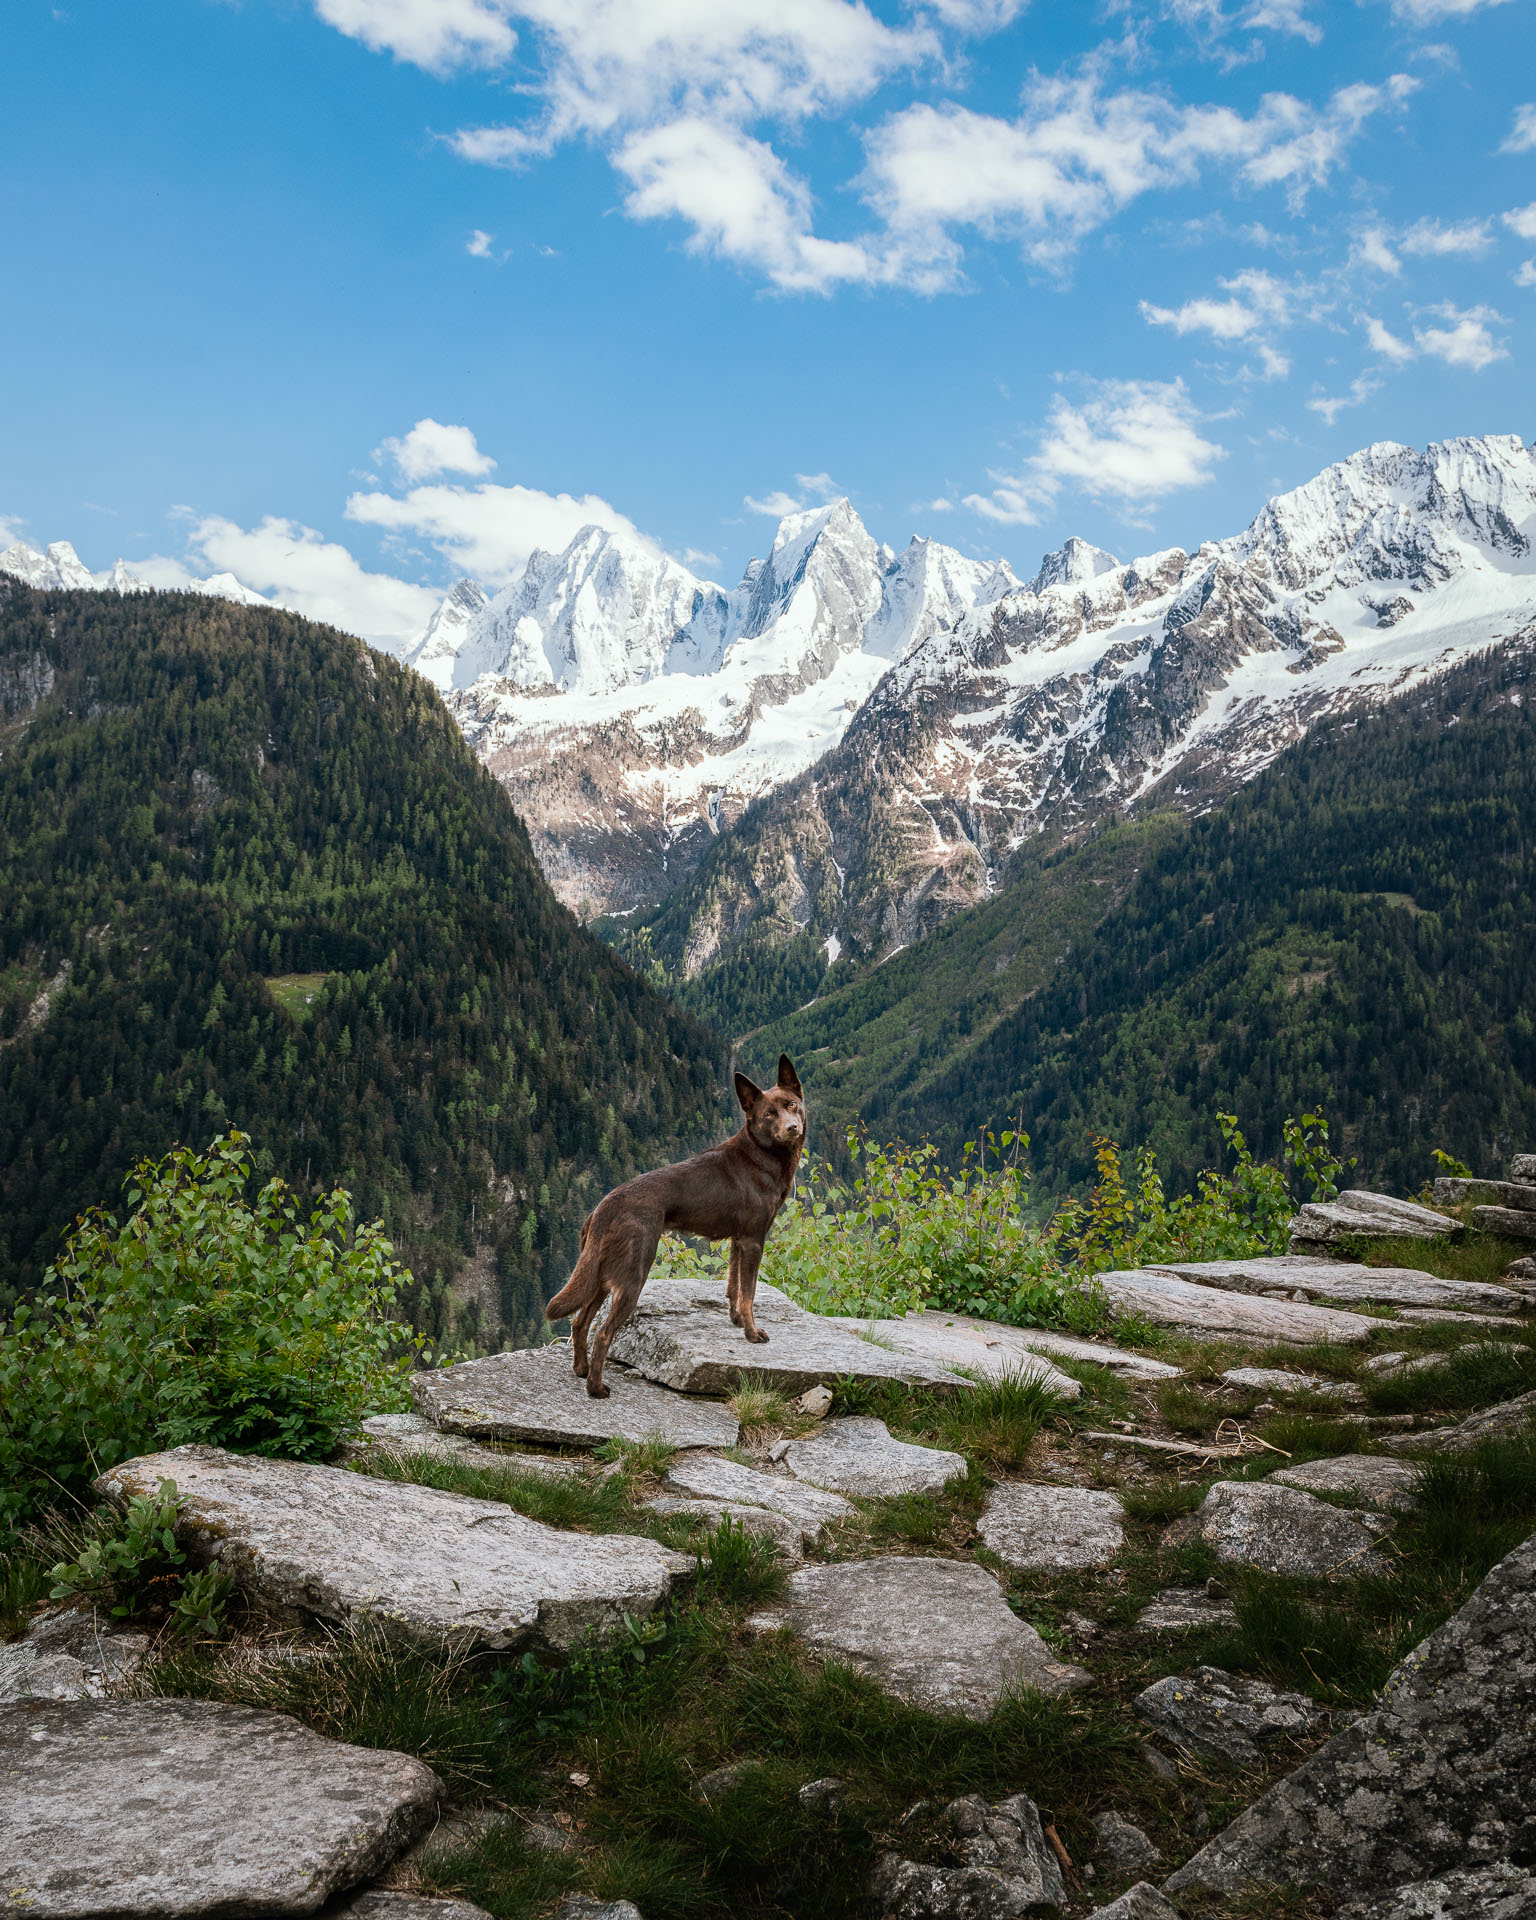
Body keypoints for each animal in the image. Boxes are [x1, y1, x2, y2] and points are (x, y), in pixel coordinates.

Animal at [541, 1059, 802, 1405]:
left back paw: (581, 1371)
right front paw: (751, 1333)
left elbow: (733, 1288)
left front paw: (735, 1321)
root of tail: (605, 1206)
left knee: (580, 1321)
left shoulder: (738, 1241)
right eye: (769, 1114)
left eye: (792, 1105)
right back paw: (596, 1389)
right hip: (632, 1278)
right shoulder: (753, 1241)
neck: (760, 1155)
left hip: (600, 1276)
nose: (792, 1128)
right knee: (603, 1334)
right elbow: (749, 1294)